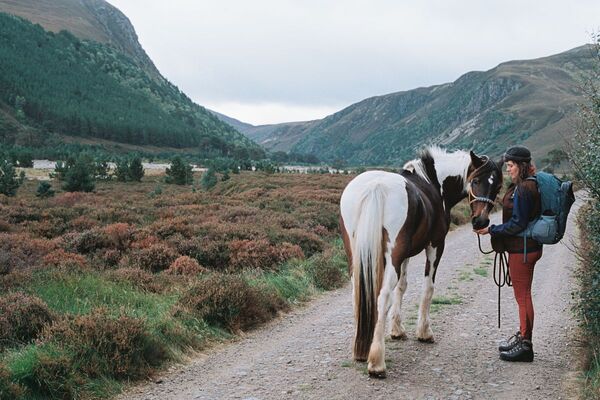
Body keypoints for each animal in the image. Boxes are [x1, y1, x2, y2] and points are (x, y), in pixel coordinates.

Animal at [340, 148, 504, 378]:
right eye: (476, 180)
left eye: (497, 186)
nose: (481, 221)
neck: (435, 184)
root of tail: (377, 186)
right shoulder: (435, 246)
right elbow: (428, 287)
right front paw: (424, 332)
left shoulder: (405, 254)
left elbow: (402, 287)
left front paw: (397, 330)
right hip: (393, 256)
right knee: (382, 297)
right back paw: (377, 362)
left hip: (358, 256)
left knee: (359, 294)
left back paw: (362, 350)